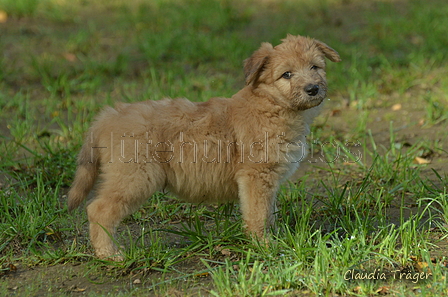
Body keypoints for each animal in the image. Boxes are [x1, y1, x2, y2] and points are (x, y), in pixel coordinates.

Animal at [68, 33, 340, 258]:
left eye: (315, 67)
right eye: (287, 74)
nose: (313, 88)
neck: (272, 104)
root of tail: (107, 117)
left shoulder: (267, 181)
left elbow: (268, 213)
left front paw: (277, 238)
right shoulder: (256, 177)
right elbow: (257, 215)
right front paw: (264, 245)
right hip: (134, 178)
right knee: (98, 210)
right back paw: (109, 254)